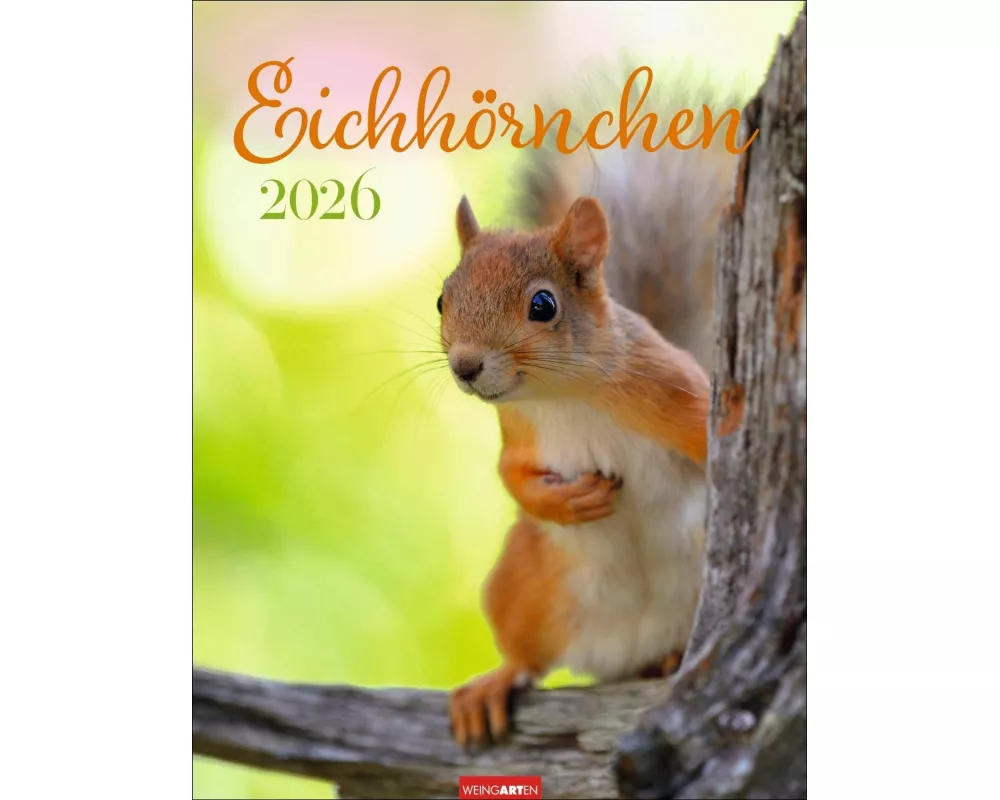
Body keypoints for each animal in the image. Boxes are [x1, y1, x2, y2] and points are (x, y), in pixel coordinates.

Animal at [437, 71, 740, 749]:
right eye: (442, 297)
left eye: (543, 305)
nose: (465, 367)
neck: (565, 396)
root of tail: (619, 655)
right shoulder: (519, 433)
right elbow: (512, 476)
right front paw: (566, 501)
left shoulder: (673, 390)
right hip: (524, 584)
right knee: (527, 656)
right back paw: (494, 684)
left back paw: (670, 660)